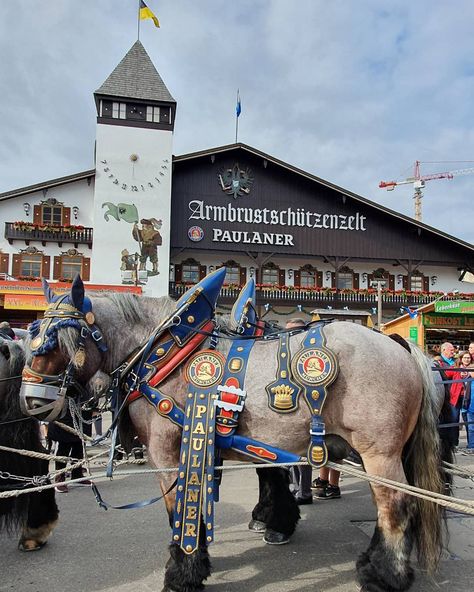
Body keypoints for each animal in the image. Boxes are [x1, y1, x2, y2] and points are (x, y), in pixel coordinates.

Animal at [20, 278, 450, 592]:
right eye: (34, 336)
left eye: (64, 342)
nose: (32, 401)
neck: (167, 354)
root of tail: (398, 343)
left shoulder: (167, 451)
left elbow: (178, 508)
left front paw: (183, 571)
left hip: (379, 452)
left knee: (396, 506)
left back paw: (383, 576)